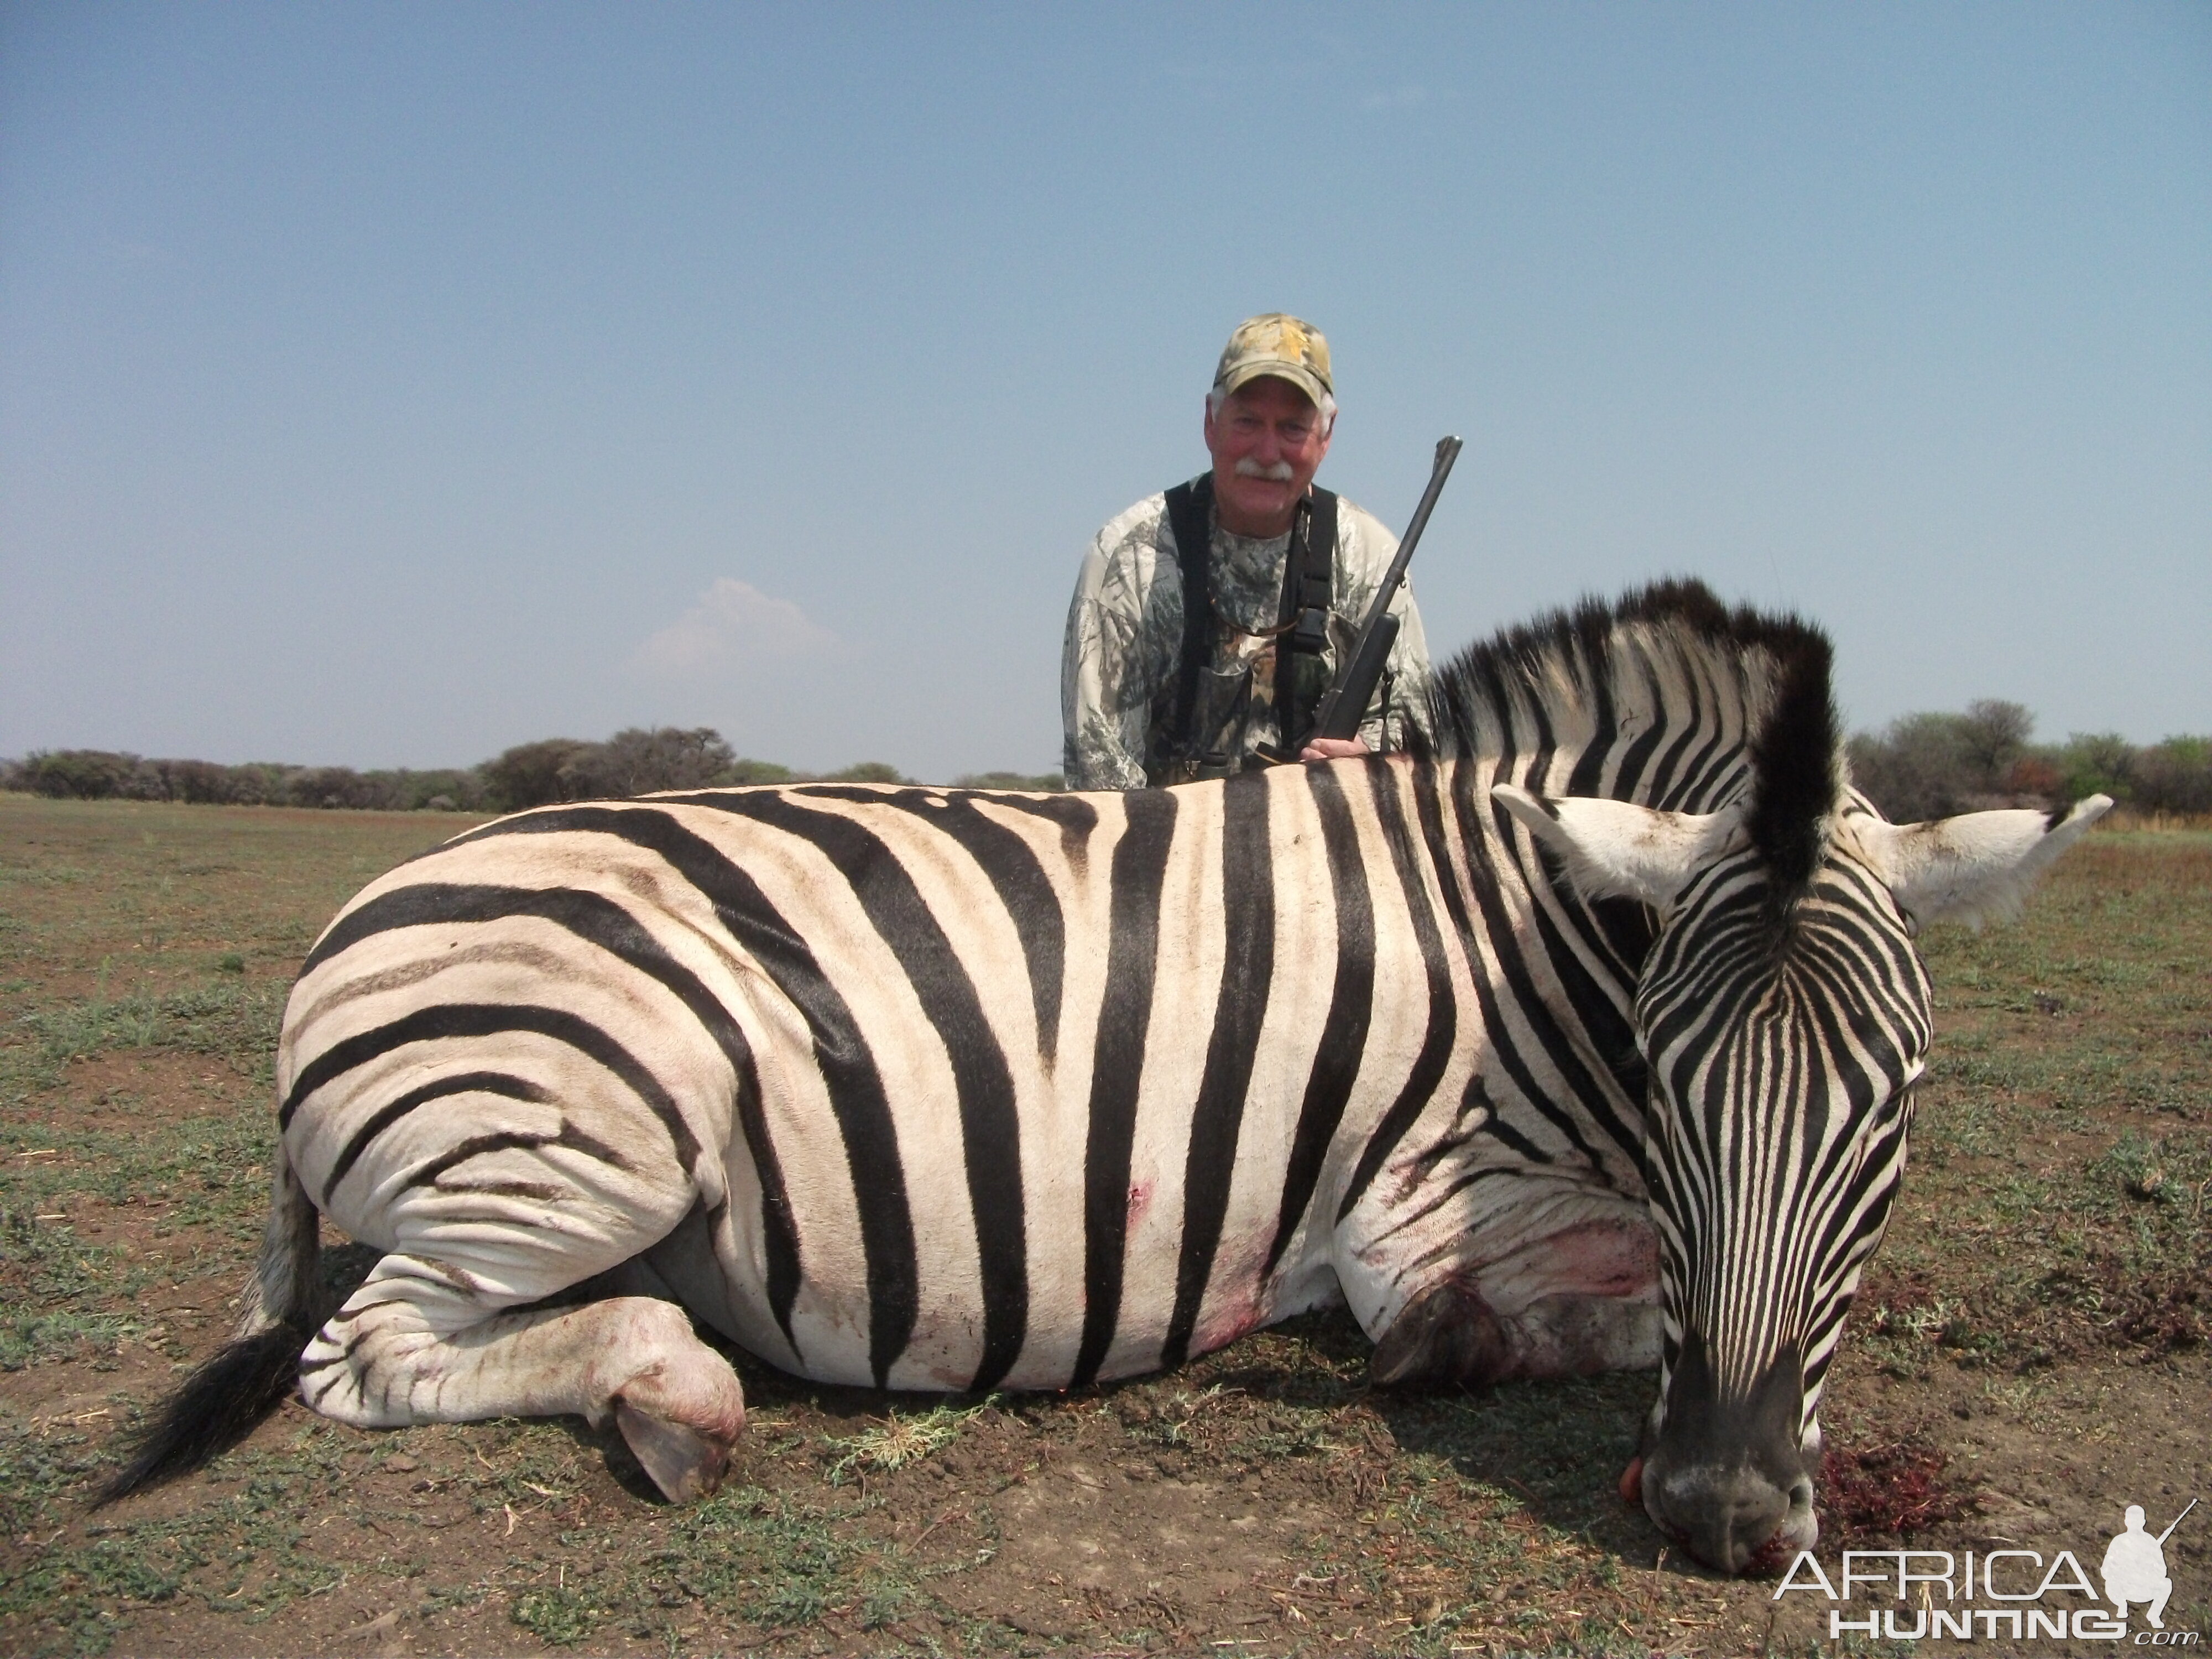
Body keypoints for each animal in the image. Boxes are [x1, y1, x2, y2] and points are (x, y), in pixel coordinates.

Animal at [104, 584, 2106, 1584]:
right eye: (1670, 1084)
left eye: (1900, 1101)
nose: (1719, 1521)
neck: (1527, 922)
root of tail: (353, 917)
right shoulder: (1425, 1212)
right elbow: (1558, 1318)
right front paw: (1447, 1353)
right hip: (590, 1137)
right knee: (365, 1353)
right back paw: (673, 1398)